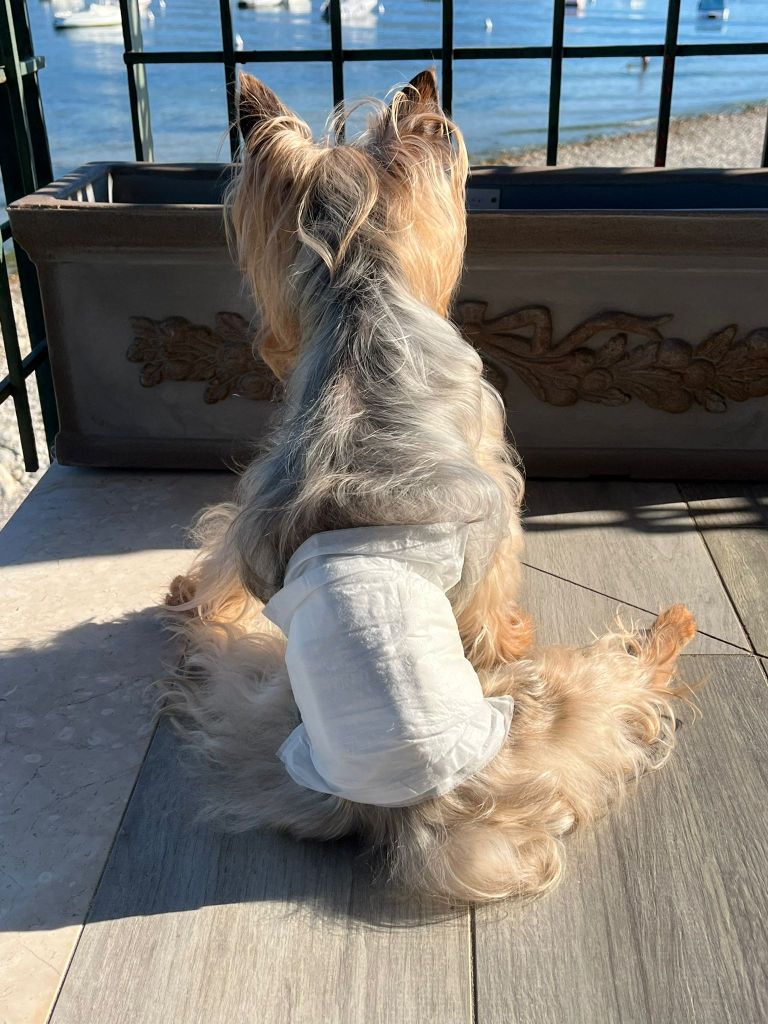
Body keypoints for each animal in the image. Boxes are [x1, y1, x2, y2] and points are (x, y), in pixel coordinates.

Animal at [162, 69, 697, 903]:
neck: (359, 300)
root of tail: (412, 808)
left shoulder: (261, 492)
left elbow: (224, 551)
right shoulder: (493, 480)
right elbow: (495, 591)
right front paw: (512, 626)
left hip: (265, 709)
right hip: (555, 703)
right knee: (624, 680)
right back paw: (672, 627)